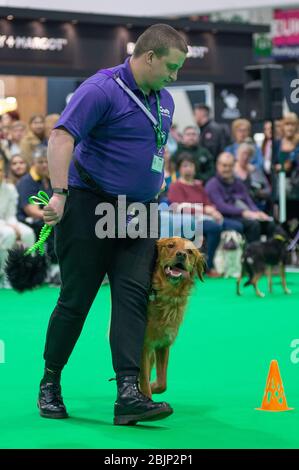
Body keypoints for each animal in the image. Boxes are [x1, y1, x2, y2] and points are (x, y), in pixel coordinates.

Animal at [139, 239, 205, 396]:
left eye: (190, 251)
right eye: (170, 245)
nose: (181, 254)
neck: (168, 295)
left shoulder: (163, 344)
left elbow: (162, 384)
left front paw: (153, 386)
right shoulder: (144, 346)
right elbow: (144, 381)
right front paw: (146, 394)